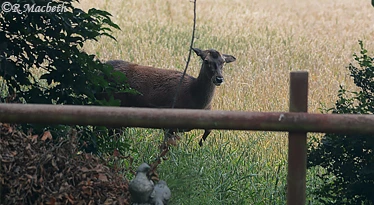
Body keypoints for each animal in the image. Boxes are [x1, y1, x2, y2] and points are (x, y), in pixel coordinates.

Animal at [103, 48, 235, 146]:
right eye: (206, 61)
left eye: (223, 62)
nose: (219, 78)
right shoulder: (172, 121)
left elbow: (209, 129)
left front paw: (201, 142)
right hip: (114, 102)